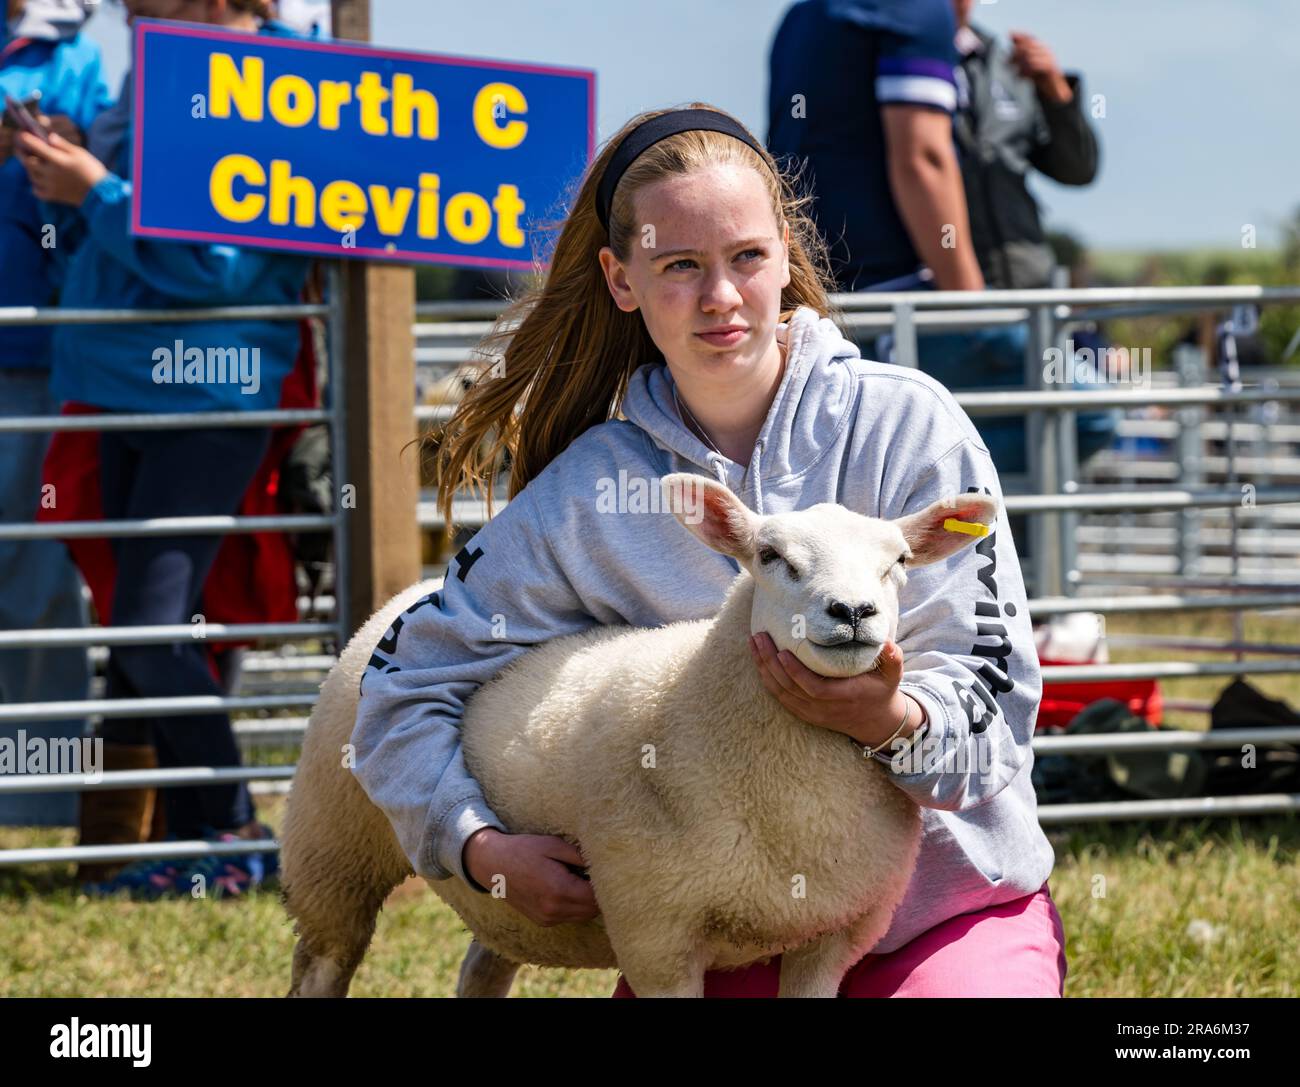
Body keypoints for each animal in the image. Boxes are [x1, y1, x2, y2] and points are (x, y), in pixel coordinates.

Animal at [282, 470, 993, 998]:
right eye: (769, 556)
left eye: (899, 561)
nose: (851, 612)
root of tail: (420, 588)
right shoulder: (658, 936)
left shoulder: (833, 936)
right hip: (331, 847)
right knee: (324, 958)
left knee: (483, 965)